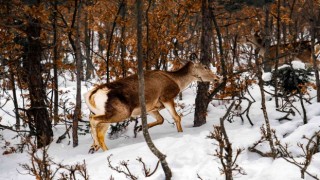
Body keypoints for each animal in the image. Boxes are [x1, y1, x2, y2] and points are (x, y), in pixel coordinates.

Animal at [84, 59, 221, 153]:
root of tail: (91, 96)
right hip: (121, 112)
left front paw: (140, 128)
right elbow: (177, 117)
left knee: (100, 132)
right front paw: (180, 134)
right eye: (205, 67)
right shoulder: (166, 96)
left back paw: (97, 147)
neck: (177, 82)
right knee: (93, 120)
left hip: (107, 114)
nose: (217, 77)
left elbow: (161, 119)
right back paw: (95, 145)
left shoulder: (150, 107)